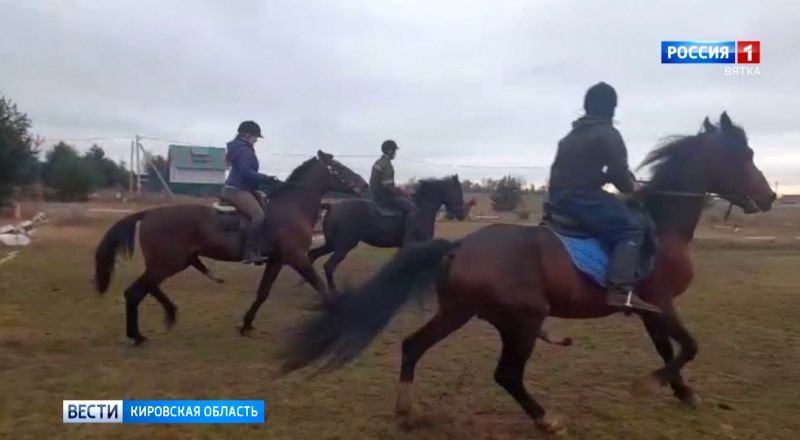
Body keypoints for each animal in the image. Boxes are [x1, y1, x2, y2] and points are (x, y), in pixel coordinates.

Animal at [94, 150, 368, 344]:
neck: (292, 208)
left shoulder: (277, 260)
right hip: (168, 263)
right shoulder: (296, 258)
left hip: (173, 263)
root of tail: (148, 213)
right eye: (339, 168)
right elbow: (320, 286)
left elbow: (262, 293)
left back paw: (167, 315)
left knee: (148, 287)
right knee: (135, 292)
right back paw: (138, 335)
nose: (364, 185)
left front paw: (246, 325)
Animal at [306, 175, 468, 292]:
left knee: (313, 255)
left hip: (332, 244)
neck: (422, 210)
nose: (461, 214)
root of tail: (332, 206)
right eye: (458, 192)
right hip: (343, 246)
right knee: (328, 266)